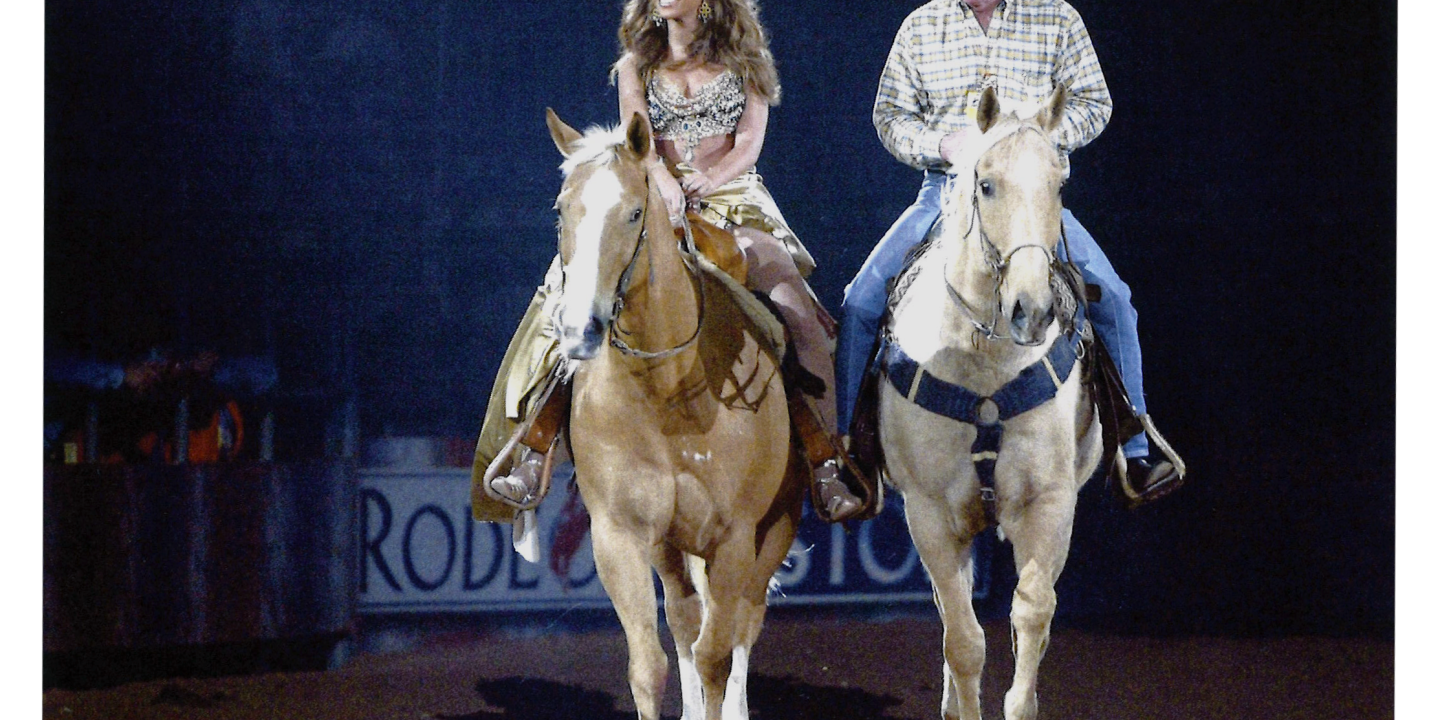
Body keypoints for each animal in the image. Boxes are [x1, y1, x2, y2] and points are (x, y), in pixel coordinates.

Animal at [541, 108, 806, 720]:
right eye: (561, 210)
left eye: (634, 212)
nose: (579, 329)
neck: (665, 393)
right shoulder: (619, 536)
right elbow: (651, 663)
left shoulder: (734, 539)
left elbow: (717, 655)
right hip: (671, 545)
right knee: (687, 621)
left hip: (774, 528)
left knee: (743, 623)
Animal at [875, 85, 1100, 720]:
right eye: (986, 184)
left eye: (1058, 184)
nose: (1032, 309)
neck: (983, 370)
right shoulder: (928, 513)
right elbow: (964, 640)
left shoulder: (1050, 503)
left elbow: (1032, 614)